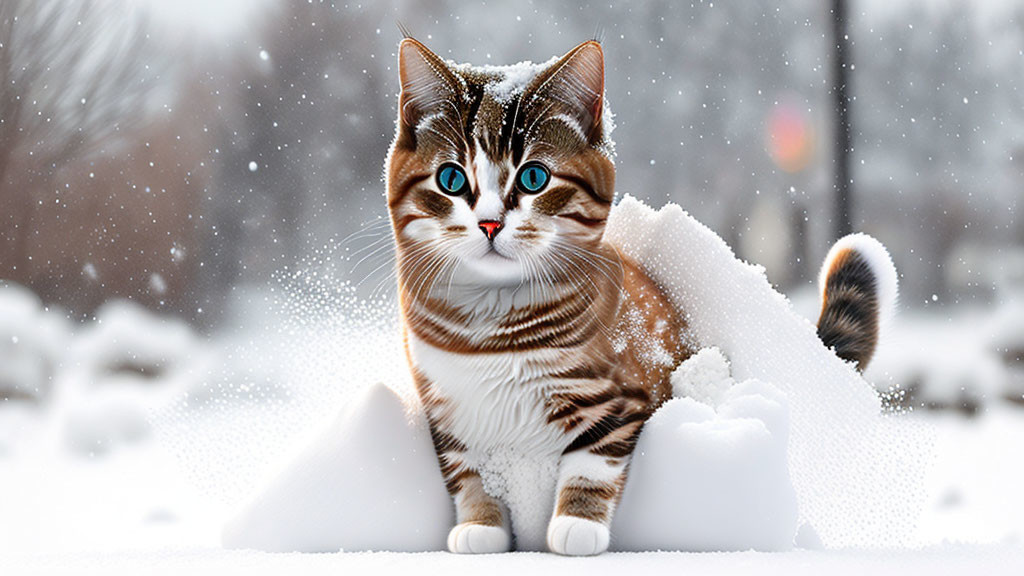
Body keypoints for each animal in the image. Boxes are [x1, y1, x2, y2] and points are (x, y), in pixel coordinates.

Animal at [385, 38, 888, 553]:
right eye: (450, 180)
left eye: (533, 179)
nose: (488, 223)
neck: (491, 324)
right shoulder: (445, 406)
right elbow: (465, 470)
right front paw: (480, 524)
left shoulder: (624, 395)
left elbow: (594, 456)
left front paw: (577, 523)